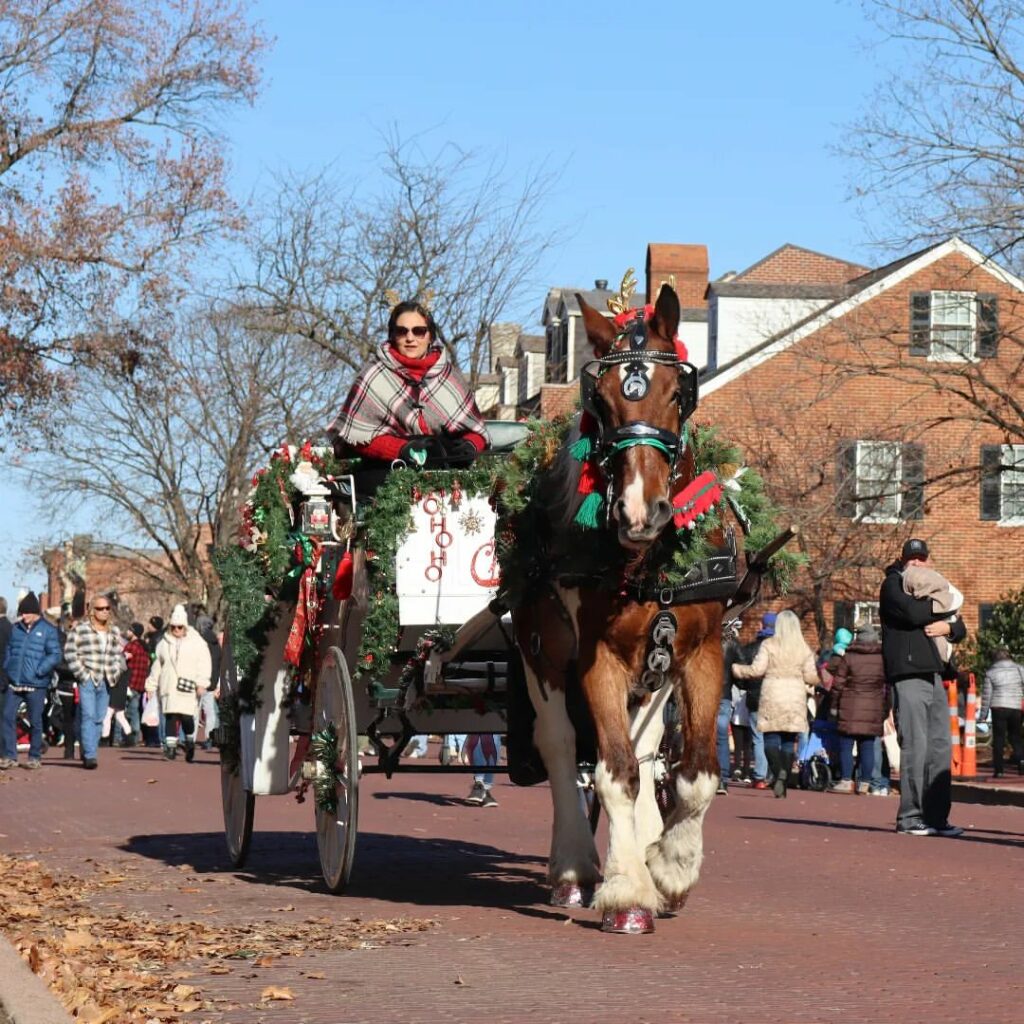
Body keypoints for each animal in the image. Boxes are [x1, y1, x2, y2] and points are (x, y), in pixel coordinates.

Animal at [512, 284, 737, 933]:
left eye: (676, 395)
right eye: (604, 401)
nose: (640, 512)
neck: (650, 564)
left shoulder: (702, 653)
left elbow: (694, 775)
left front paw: (669, 867)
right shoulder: (598, 659)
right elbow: (613, 772)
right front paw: (628, 891)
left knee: (645, 752)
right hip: (539, 651)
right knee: (561, 745)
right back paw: (574, 868)